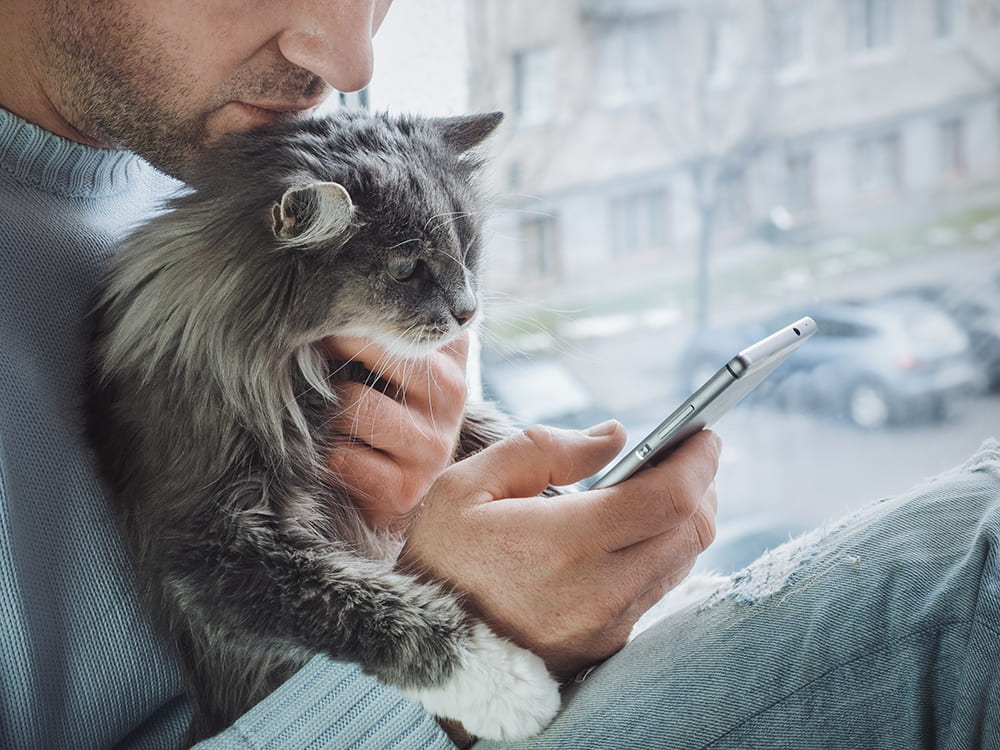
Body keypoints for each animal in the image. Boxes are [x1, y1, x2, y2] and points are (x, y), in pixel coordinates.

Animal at [83, 110, 564, 748]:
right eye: (408, 269)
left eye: (468, 251)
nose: (468, 312)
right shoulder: (214, 546)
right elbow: (373, 609)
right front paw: (506, 684)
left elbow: (492, 431)